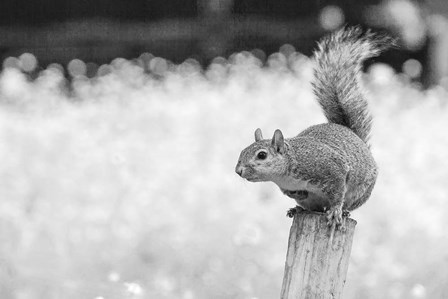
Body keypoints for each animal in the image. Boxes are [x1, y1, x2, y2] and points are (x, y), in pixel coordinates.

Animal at [234, 28, 392, 229]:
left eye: (262, 155)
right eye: (242, 151)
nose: (238, 171)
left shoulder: (332, 168)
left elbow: (337, 192)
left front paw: (335, 211)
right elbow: (292, 192)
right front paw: (297, 194)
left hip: (360, 193)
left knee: (345, 204)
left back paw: (343, 212)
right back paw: (297, 209)